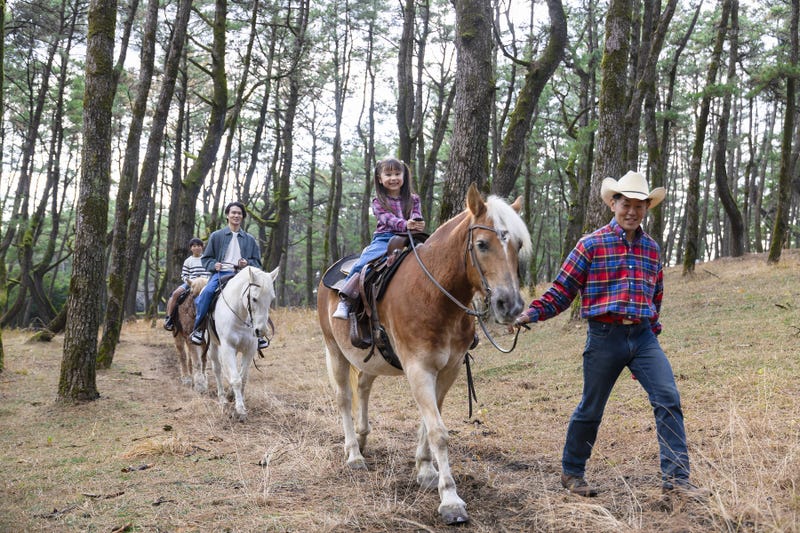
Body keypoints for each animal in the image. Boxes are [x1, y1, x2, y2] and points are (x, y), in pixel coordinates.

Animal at [205, 266, 279, 422]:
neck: (240, 315)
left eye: (271, 299)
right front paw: (240, 410)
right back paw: (222, 399)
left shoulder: (250, 349)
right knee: (217, 369)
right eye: (254, 298)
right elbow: (236, 379)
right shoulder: (228, 348)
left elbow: (243, 378)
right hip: (213, 346)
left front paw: (235, 397)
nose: (261, 331)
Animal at [317, 184, 532, 525]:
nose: (510, 305)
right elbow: (439, 432)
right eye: (482, 244)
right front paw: (451, 500)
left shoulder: (448, 370)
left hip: (369, 357)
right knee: (344, 398)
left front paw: (426, 471)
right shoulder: (418, 369)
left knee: (363, 385)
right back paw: (353, 453)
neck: (434, 295)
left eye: (518, 245)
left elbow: (429, 424)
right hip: (334, 350)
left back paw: (363, 439)